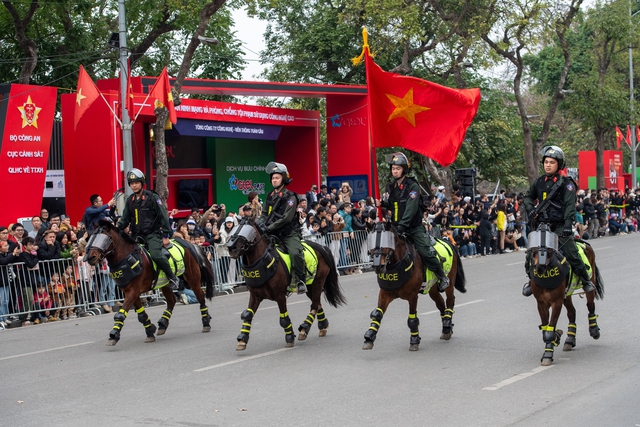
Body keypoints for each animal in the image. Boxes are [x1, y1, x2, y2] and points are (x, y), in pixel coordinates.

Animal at [84, 221, 215, 344]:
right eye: (91, 238)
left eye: (105, 238)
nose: (91, 257)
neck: (126, 258)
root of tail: (187, 243)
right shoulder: (130, 292)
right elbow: (141, 315)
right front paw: (150, 331)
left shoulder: (133, 291)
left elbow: (120, 314)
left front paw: (113, 335)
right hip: (165, 284)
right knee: (171, 301)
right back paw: (163, 324)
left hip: (192, 278)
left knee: (200, 297)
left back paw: (206, 323)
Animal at [225, 219, 344, 352]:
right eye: (233, 229)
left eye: (246, 231)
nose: (231, 248)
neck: (263, 261)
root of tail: (321, 246)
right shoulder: (255, 296)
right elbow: (248, 315)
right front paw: (242, 339)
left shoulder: (280, 295)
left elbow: (283, 319)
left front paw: (290, 337)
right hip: (310, 287)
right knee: (317, 303)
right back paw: (322, 326)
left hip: (318, 282)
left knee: (314, 304)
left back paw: (304, 328)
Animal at [362, 219, 468, 352]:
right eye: (371, 241)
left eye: (388, 241)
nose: (378, 266)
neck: (397, 264)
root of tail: (447, 241)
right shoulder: (384, 293)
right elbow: (377, 314)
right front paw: (369, 337)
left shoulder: (412, 296)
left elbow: (412, 319)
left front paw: (414, 340)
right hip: (432, 289)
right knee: (441, 304)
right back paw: (446, 327)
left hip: (449, 283)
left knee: (450, 301)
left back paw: (447, 325)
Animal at [528, 224, 604, 368]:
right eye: (533, 247)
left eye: (549, 249)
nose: (540, 267)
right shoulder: (541, 303)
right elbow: (546, 329)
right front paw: (556, 337)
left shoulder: (556, 301)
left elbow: (549, 330)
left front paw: (548, 354)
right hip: (567, 295)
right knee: (572, 312)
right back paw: (570, 339)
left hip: (590, 283)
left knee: (590, 305)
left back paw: (594, 330)